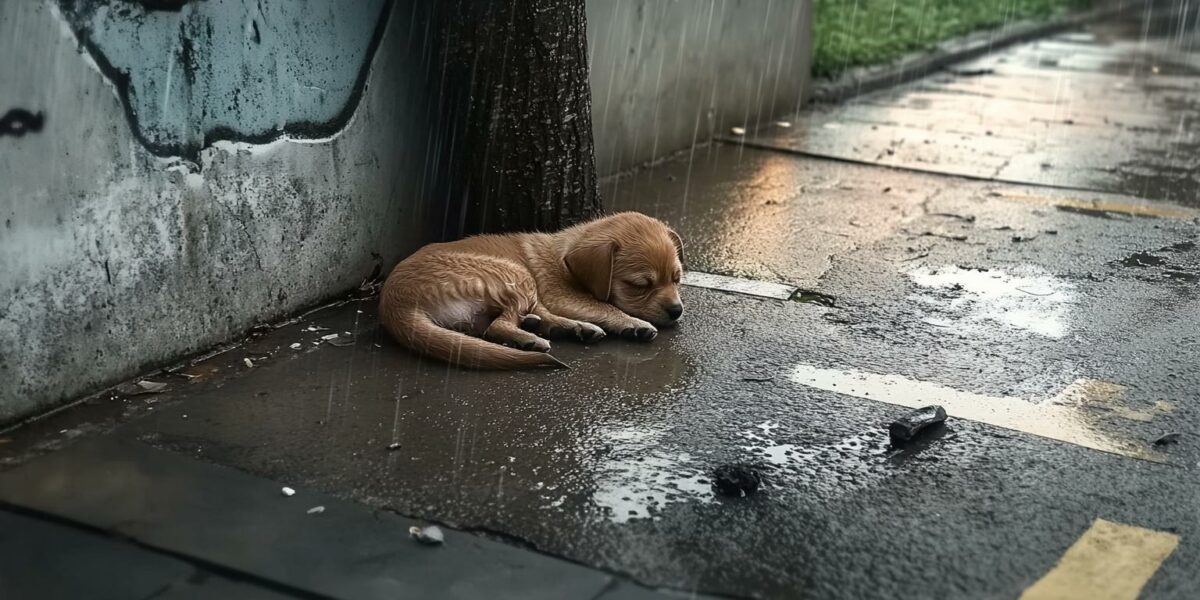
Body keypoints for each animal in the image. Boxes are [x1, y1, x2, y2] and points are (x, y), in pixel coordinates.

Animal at [379, 213, 691, 367]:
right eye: (640, 285)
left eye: (677, 278)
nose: (677, 311)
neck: (563, 254)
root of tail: (395, 305)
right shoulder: (560, 294)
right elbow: (605, 305)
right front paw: (633, 322)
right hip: (515, 274)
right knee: (496, 327)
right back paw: (535, 337)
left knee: (501, 323)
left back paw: (569, 328)